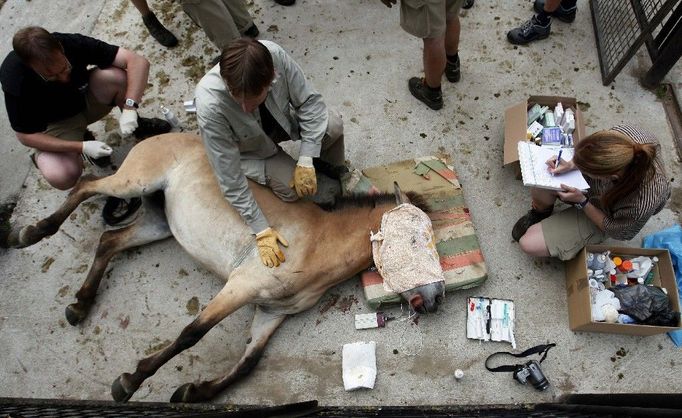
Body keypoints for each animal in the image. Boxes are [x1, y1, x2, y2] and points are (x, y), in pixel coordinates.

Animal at [5, 133, 444, 402]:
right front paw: (129, 382)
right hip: (132, 183)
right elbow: (191, 334)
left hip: (158, 223)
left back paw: (79, 305)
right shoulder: (240, 286)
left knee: (108, 242)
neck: (318, 243)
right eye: (417, 239)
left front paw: (192, 393)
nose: (436, 299)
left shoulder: (270, 313)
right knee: (84, 188)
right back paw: (28, 233)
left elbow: (247, 364)